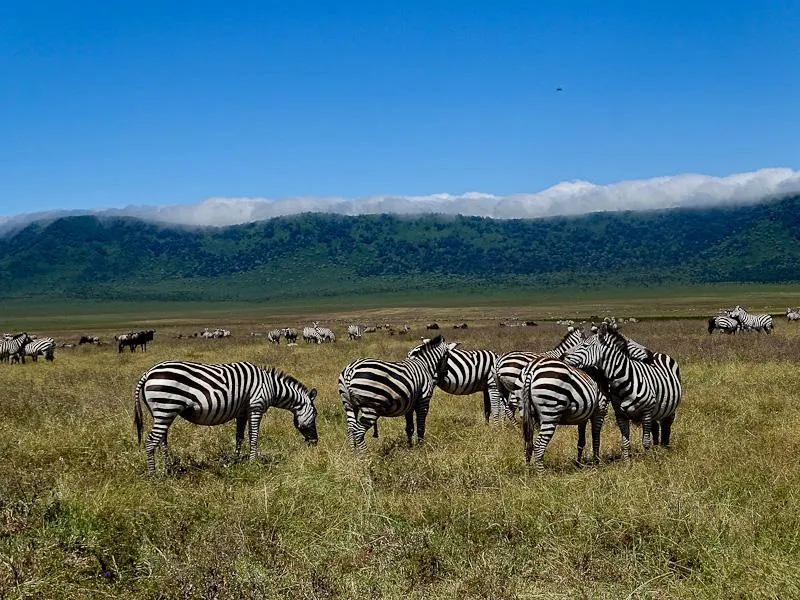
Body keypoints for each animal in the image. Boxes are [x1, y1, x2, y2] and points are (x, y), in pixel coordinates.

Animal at [133, 361, 319, 474]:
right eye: (316, 414)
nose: (315, 442)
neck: (271, 386)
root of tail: (148, 373)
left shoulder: (242, 412)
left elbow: (239, 437)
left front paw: (236, 461)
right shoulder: (256, 407)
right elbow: (254, 436)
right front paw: (253, 462)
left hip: (161, 413)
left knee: (162, 440)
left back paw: (168, 468)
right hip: (166, 407)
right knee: (151, 441)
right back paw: (154, 475)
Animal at [563, 326, 682, 460]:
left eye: (585, 345)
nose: (563, 355)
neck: (624, 382)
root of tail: (658, 354)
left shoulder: (646, 411)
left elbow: (646, 442)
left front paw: (648, 460)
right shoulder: (620, 415)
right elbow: (625, 442)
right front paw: (627, 463)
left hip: (670, 409)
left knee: (667, 427)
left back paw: (665, 449)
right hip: (655, 412)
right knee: (656, 427)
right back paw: (657, 449)